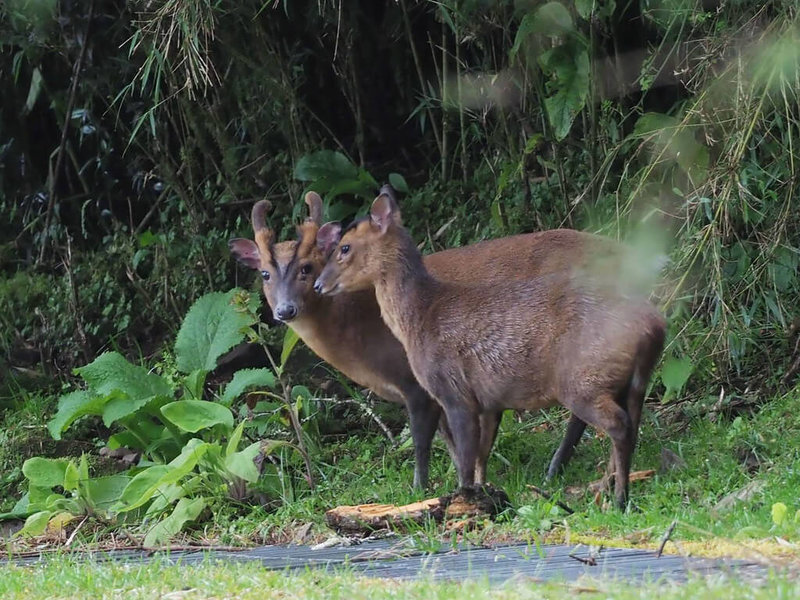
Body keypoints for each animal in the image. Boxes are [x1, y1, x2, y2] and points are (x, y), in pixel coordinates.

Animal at [231, 189, 648, 492]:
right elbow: (456, 442)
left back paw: (559, 470)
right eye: (265, 274)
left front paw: (422, 490)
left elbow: (425, 441)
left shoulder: (418, 383)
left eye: (307, 267)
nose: (286, 310)